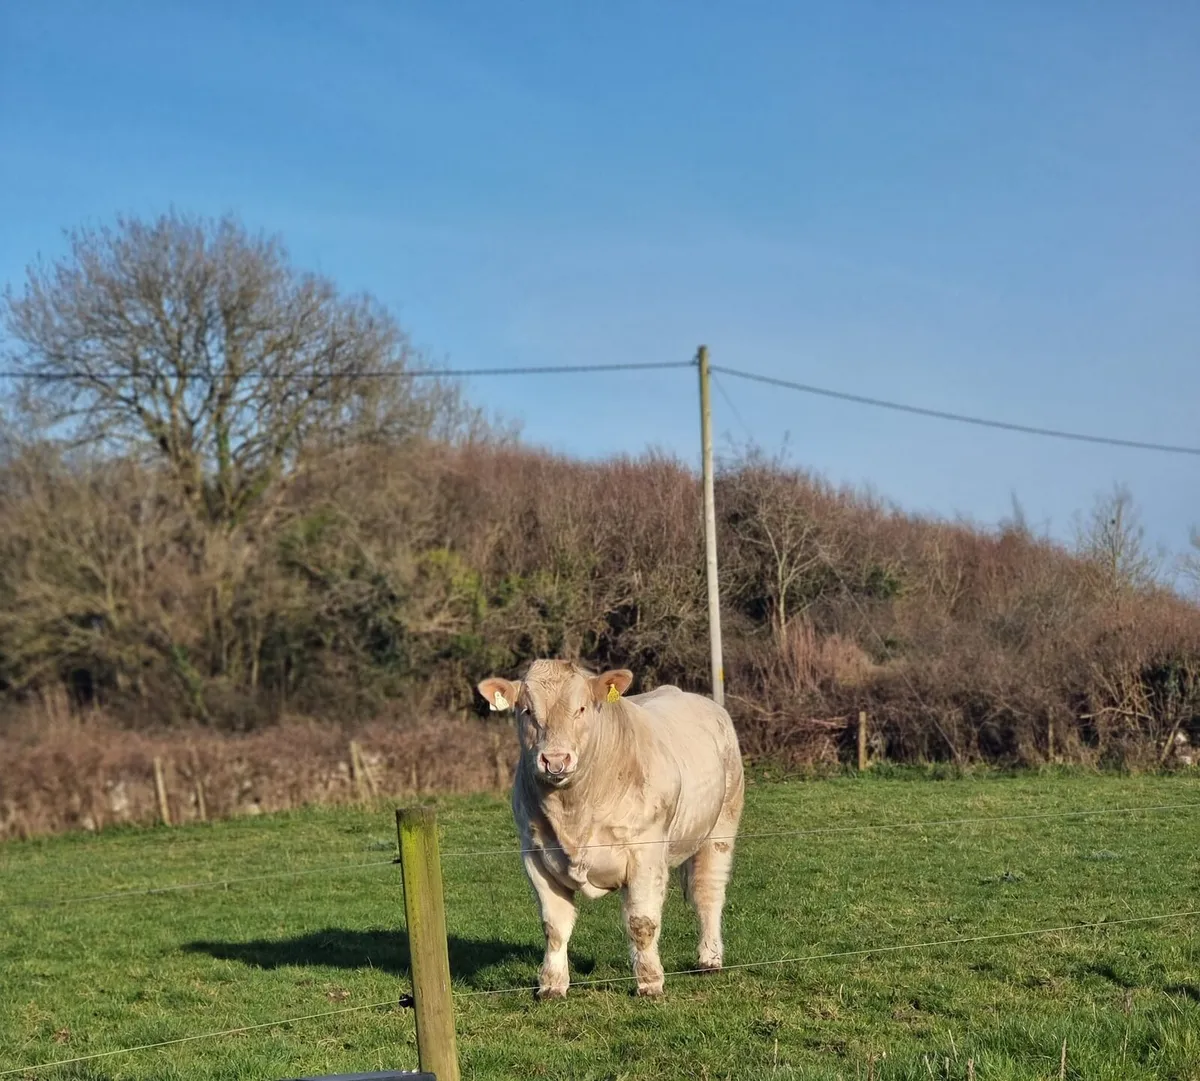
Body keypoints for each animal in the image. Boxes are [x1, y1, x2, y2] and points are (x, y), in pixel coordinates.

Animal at [476, 659, 744, 999]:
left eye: (581, 708)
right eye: (526, 711)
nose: (555, 760)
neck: (573, 811)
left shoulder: (645, 853)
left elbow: (642, 923)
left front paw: (649, 982)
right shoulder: (535, 855)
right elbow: (554, 926)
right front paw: (551, 984)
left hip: (721, 827)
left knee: (708, 892)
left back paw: (709, 959)